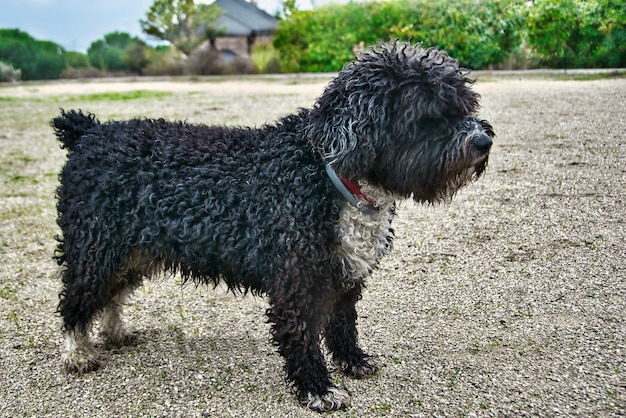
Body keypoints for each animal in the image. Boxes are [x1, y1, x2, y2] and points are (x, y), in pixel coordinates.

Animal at [51, 41, 492, 412]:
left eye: (465, 104)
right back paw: (77, 353)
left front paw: (353, 361)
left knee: (111, 296)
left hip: (132, 251)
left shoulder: (345, 275)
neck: (326, 172)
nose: (483, 141)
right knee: (75, 301)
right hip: (95, 247)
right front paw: (318, 388)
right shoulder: (297, 281)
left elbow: (343, 327)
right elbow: (302, 337)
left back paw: (114, 333)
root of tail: (89, 132)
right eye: (427, 115)